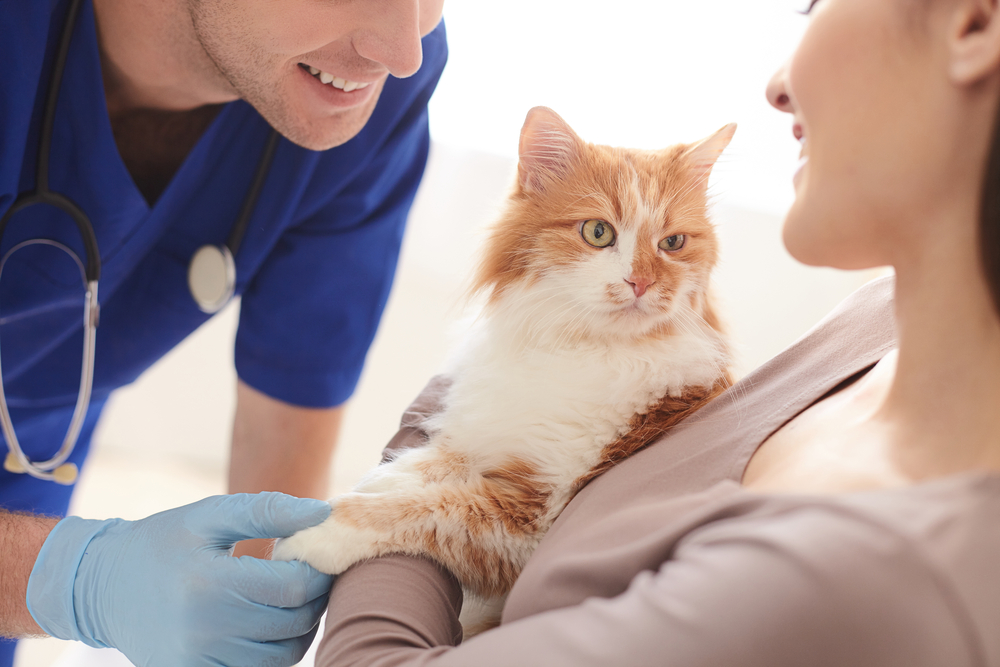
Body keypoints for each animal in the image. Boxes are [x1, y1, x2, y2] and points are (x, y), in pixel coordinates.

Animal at [272, 107, 736, 636]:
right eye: (598, 232)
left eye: (672, 243)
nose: (640, 282)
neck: (579, 349)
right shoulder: (491, 433)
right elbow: (429, 465)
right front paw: (374, 481)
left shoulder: (530, 521)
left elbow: (419, 508)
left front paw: (315, 528)